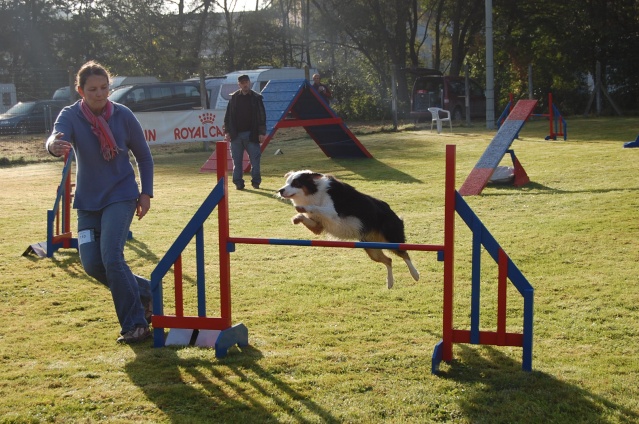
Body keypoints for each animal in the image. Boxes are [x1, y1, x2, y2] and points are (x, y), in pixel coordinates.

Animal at [276, 170, 420, 288]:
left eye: (296, 183)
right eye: (287, 182)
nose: (280, 190)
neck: (314, 191)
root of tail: (394, 214)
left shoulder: (332, 213)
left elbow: (315, 207)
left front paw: (302, 208)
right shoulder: (318, 226)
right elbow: (306, 217)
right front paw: (296, 218)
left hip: (391, 238)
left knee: (405, 254)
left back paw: (415, 274)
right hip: (371, 247)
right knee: (389, 260)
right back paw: (390, 283)